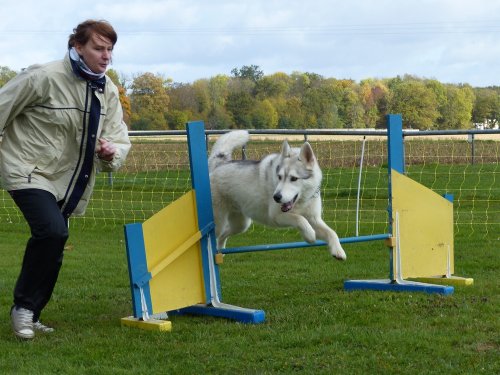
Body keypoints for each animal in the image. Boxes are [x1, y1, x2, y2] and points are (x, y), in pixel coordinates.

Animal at [209, 131, 346, 260]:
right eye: (279, 177)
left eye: (294, 178)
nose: (276, 197)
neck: (301, 202)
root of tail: (219, 165)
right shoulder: (277, 216)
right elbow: (300, 219)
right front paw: (310, 236)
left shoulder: (314, 219)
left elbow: (331, 232)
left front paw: (338, 251)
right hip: (219, 224)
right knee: (215, 238)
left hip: (241, 225)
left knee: (223, 235)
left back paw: (220, 251)